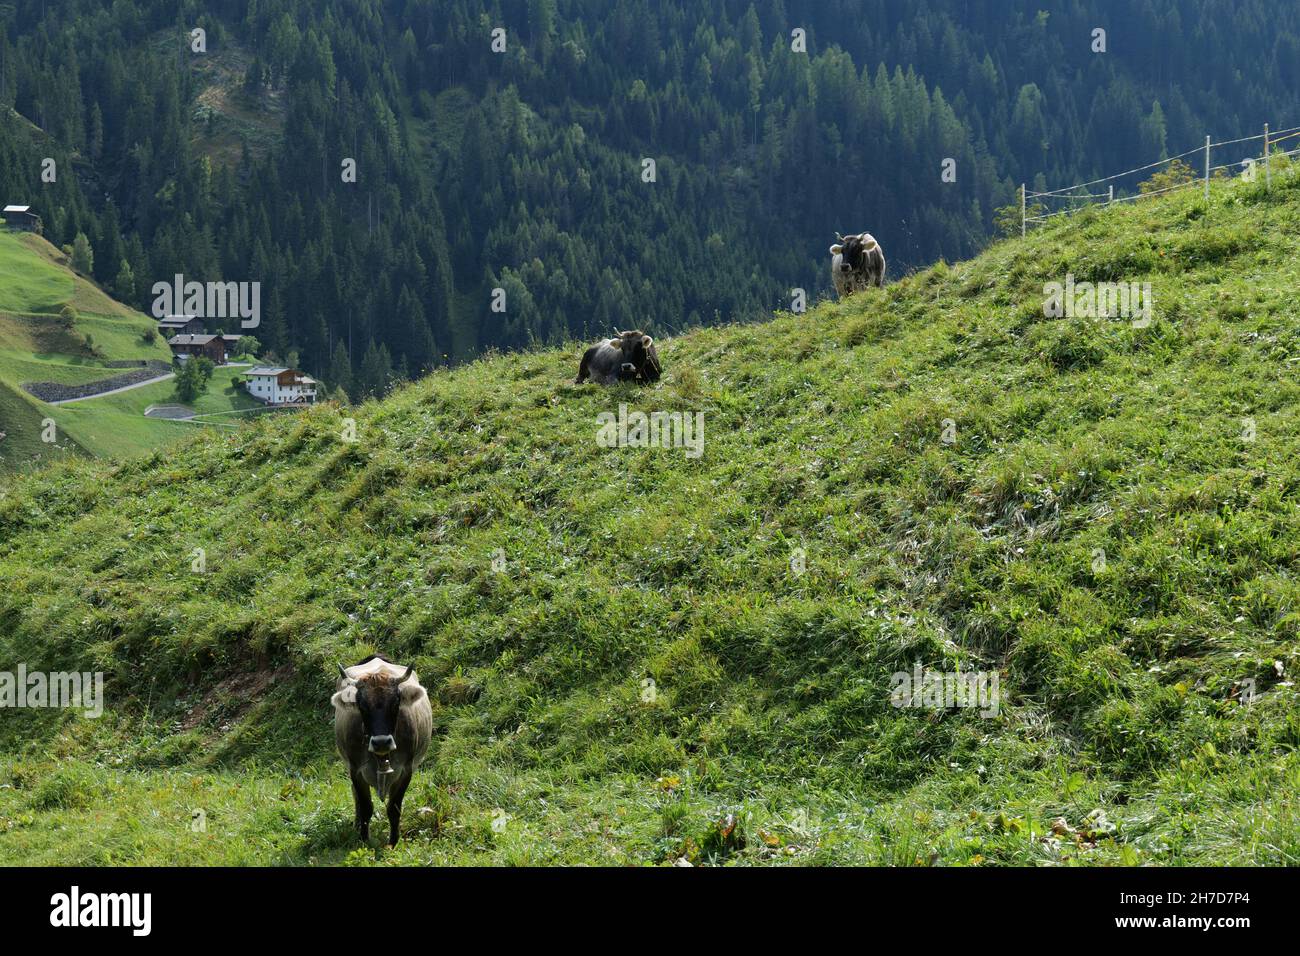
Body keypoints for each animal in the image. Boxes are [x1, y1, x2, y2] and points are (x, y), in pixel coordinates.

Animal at [331, 655, 433, 847]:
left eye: (395, 704)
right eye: (362, 706)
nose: (381, 742)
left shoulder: (406, 770)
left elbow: (394, 808)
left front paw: (393, 842)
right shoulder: (356, 770)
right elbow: (365, 806)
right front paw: (364, 840)